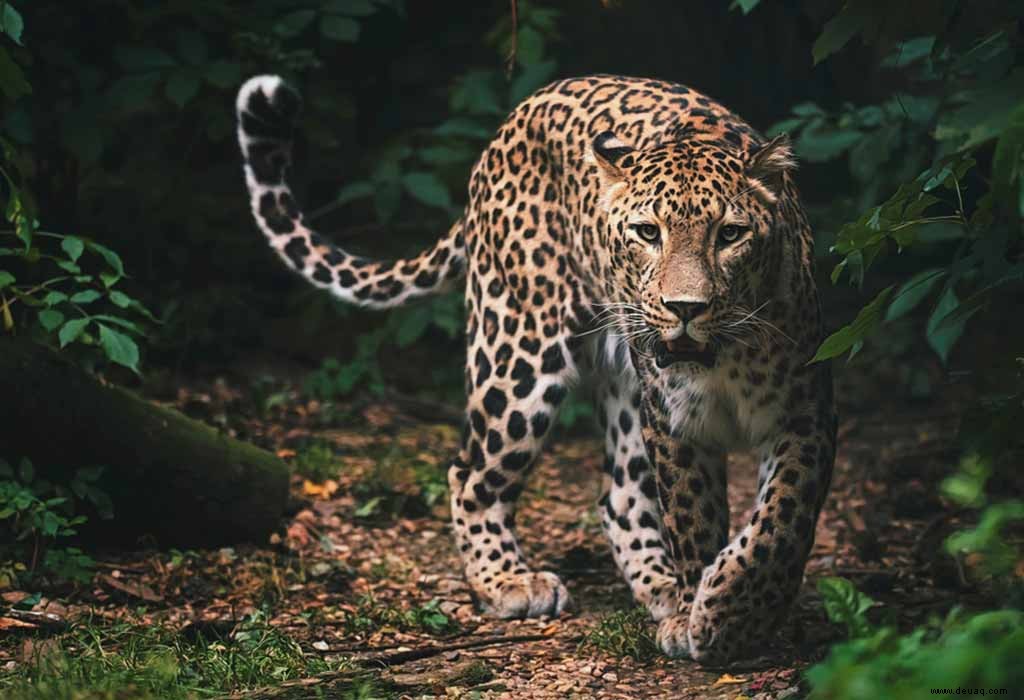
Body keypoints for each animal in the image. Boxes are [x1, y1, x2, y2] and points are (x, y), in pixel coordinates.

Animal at [235, 73, 835, 663]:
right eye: (648, 233)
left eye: (730, 234)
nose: (685, 308)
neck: (723, 358)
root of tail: (515, 117)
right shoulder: (673, 423)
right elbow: (694, 520)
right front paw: (706, 618)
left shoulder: (805, 412)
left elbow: (781, 522)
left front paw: (733, 612)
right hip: (518, 353)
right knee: (470, 473)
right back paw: (509, 582)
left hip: (620, 385)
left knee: (618, 494)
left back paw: (660, 589)